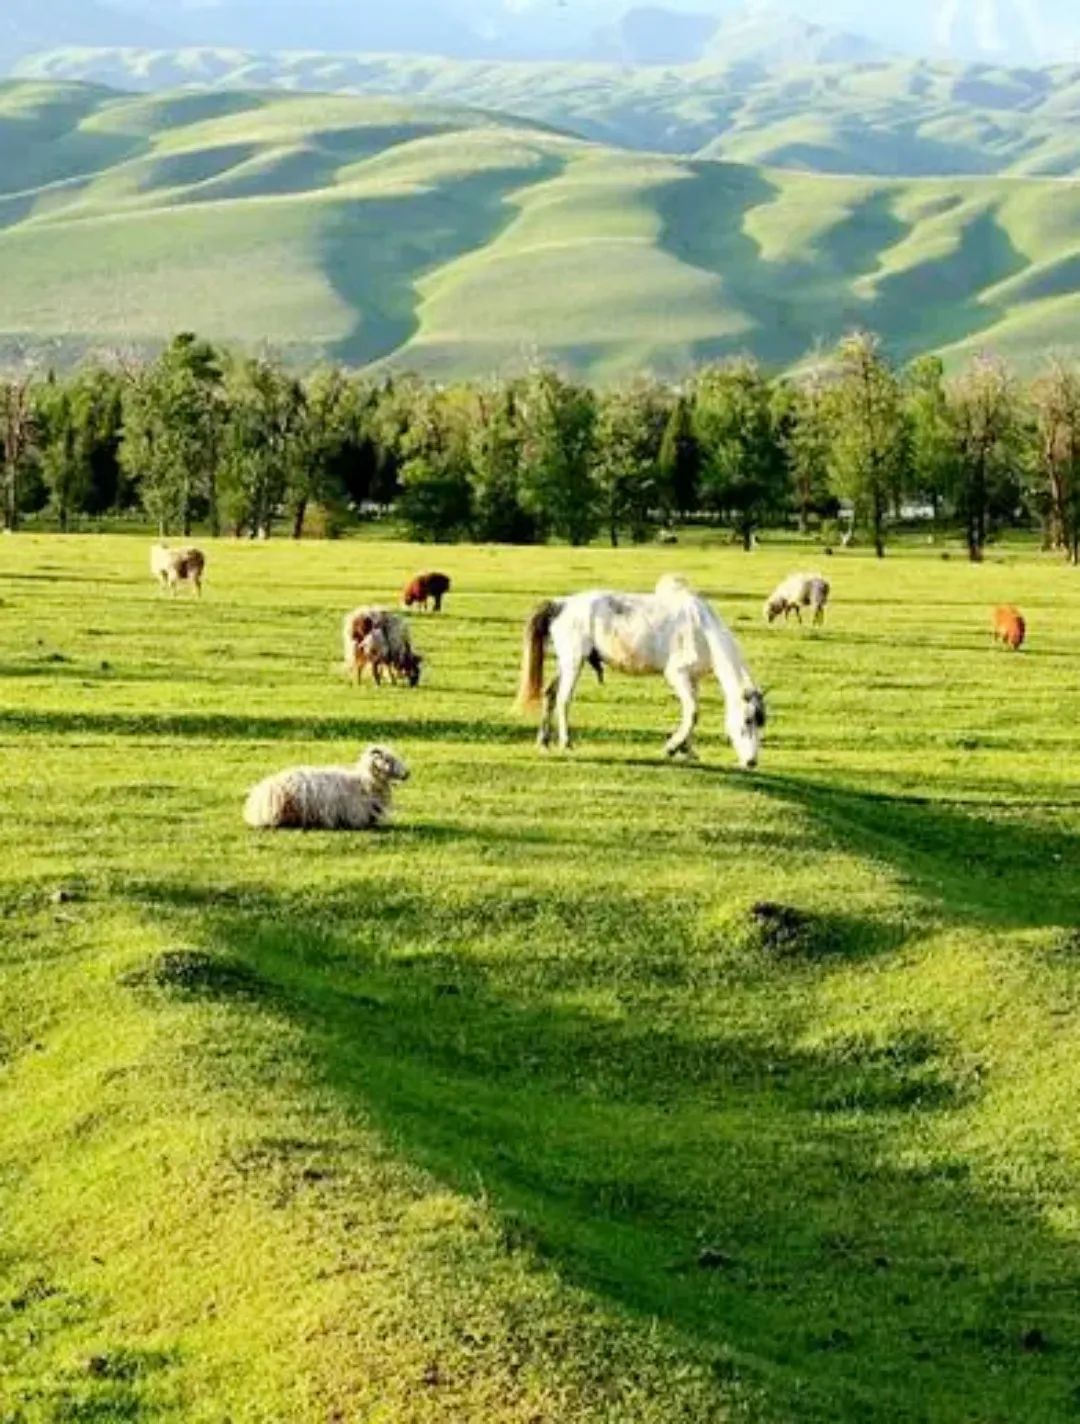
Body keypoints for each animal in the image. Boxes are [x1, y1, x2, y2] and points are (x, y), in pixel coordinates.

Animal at [518, 572, 763, 768]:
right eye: (747, 720)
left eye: (761, 723)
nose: (751, 762)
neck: (703, 629)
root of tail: (561, 604)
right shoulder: (677, 675)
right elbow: (693, 712)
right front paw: (672, 747)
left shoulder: (693, 679)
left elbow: (691, 712)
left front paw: (687, 750)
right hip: (573, 662)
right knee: (563, 699)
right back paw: (566, 742)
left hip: (567, 662)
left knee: (550, 694)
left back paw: (544, 742)